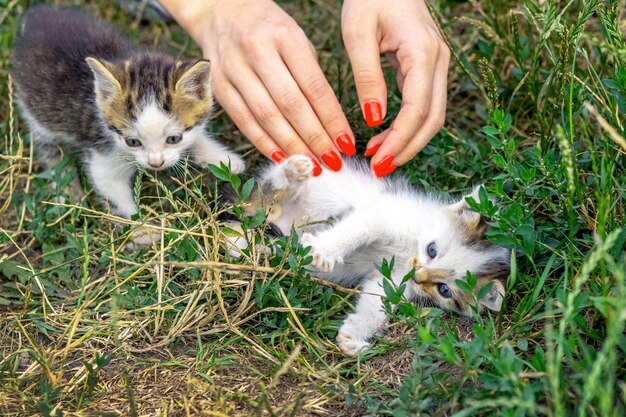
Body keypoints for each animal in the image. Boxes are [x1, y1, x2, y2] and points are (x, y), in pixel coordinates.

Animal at [11, 6, 244, 219]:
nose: (155, 163)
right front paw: (143, 230)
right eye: (133, 142)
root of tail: (35, 17)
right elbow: (113, 191)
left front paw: (225, 160)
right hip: (35, 113)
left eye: (174, 139)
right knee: (48, 147)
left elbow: (196, 136)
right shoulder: (102, 152)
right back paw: (65, 189)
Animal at [229, 155, 508, 354]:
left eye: (444, 290)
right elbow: (358, 229)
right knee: (263, 193)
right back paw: (290, 173)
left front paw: (352, 336)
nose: (418, 276)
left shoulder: (393, 278)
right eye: (432, 249)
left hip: (270, 239)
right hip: (281, 196)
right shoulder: (384, 212)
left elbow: (377, 301)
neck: (409, 248)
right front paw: (324, 249)